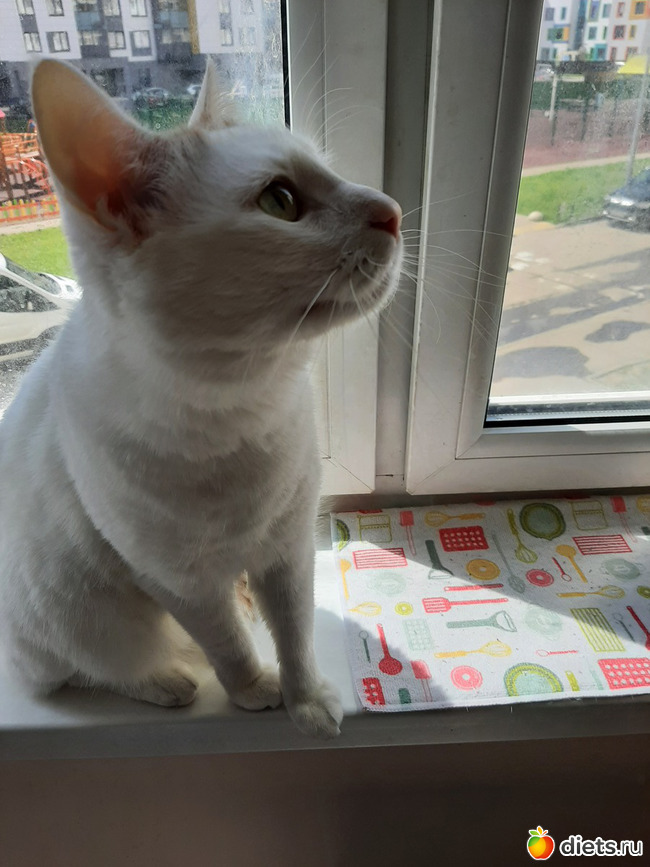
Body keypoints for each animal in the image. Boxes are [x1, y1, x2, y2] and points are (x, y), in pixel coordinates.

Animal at [0, 59, 402, 738]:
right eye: (280, 200)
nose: (392, 209)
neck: (240, 410)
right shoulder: (175, 580)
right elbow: (227, 643)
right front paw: (253, 690)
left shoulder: (287, 549)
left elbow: (294, 631)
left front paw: (306, 700)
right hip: (85, 612)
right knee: (78, 669)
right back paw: (165, 682)